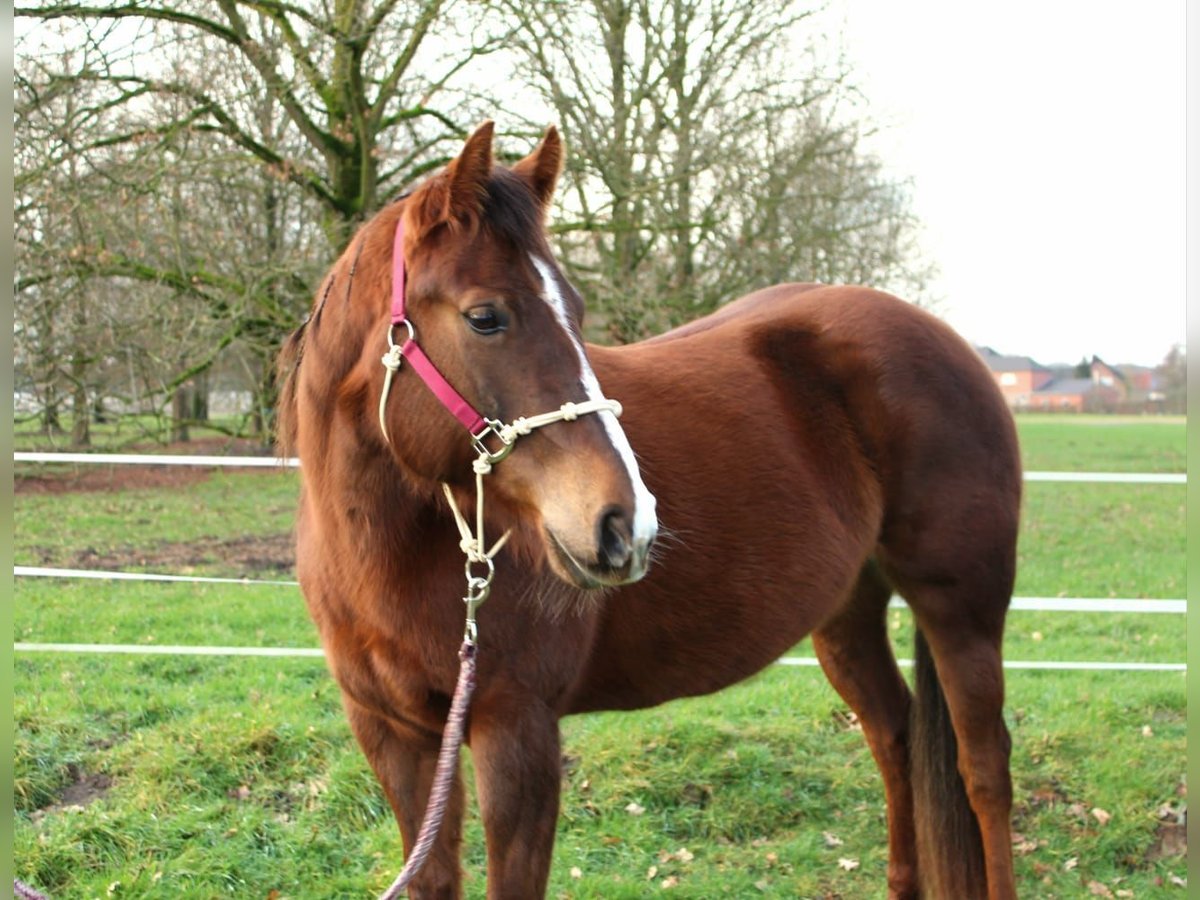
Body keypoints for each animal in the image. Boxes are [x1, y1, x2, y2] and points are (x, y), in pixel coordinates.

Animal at [278, 121, 1022, 900]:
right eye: (485, 317)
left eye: (577, 312)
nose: (623, 526)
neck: (389, 558)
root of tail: (947, 343)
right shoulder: (396, 737)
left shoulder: (517, 732)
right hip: (847, 613)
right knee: (895, 735)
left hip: (961, 609)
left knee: (983, 770)